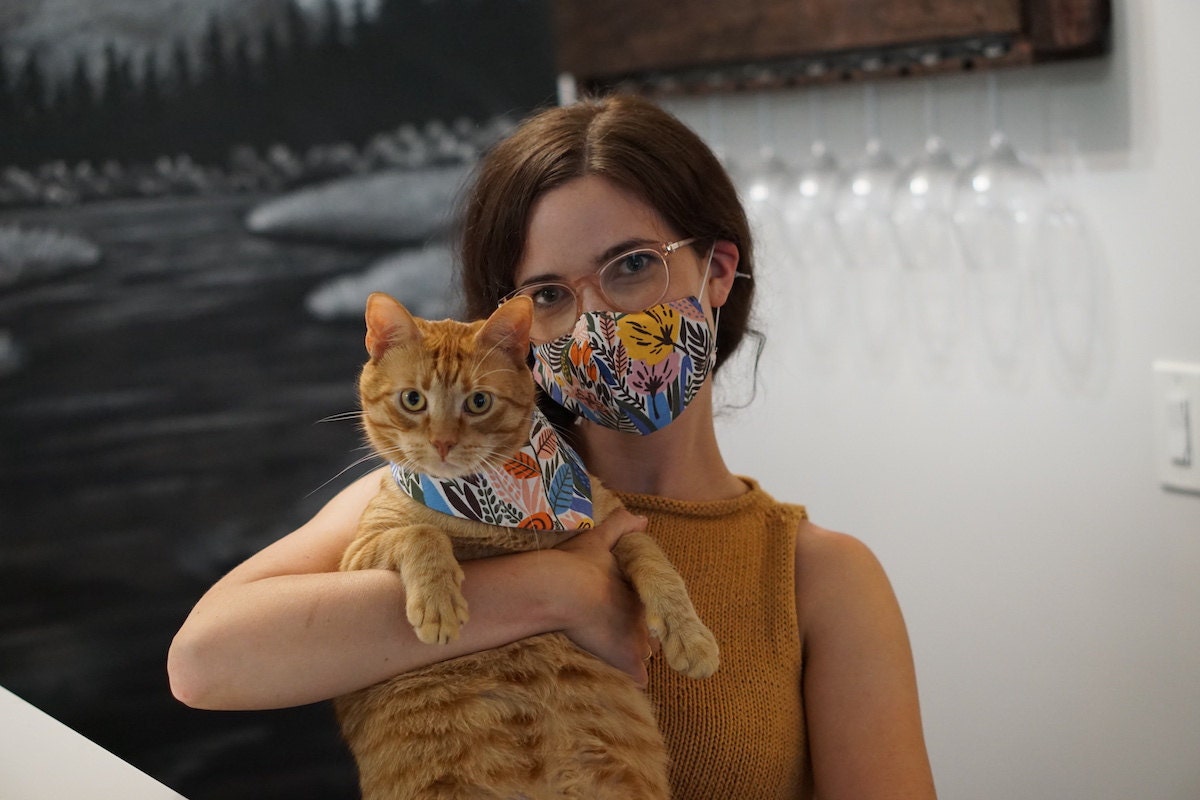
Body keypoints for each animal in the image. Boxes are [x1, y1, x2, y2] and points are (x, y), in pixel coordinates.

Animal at [333, 293, 715, 800]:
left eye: (478, 402)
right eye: (413, 400)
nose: (442, 442)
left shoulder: (615, 522)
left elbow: (657, 565)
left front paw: (690, 636)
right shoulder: (356, 554)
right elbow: (420, 533)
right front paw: (439, 603)